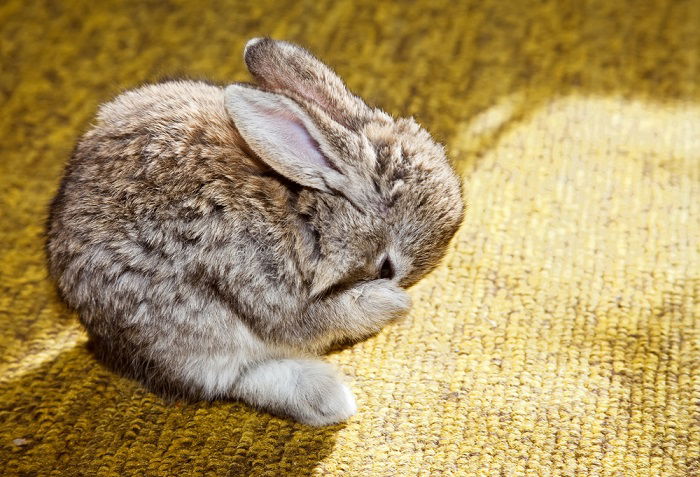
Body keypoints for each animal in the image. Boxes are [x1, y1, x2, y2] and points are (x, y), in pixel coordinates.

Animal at [47, 37, 464, 424]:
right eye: (386, 268)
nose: (399, 292)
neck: (308, 215)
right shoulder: (263, 287)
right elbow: (314, 320)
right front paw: (392, 304)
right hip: (188, 335)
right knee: (233, 378)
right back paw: (329, 401)